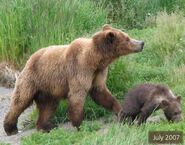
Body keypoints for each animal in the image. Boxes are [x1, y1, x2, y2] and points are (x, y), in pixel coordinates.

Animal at [3, 24, 144, 135]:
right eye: (127, 38)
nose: (141, 43)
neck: (96, 60)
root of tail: (30, 57)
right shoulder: (79, 69)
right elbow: (77, 95)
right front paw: (80, 124)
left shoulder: (98, 73)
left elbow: (101, 93)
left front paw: (123, 113)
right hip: (33, 78)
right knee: (21, 100)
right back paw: (11, 128)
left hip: (49, 90)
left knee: (48, 107)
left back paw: (46, 126)